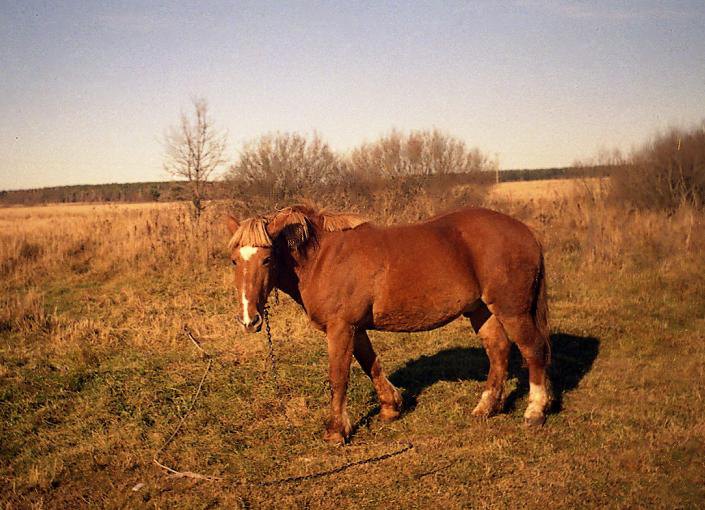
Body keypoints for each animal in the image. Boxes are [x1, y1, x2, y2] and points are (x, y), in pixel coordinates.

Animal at [226, 205, 552, 444]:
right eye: (233, 261)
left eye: (267, 259)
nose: (249, 320)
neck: (322, 258)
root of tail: (526, 232)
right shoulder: (355, 328)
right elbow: (371, 364)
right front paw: (391, 407)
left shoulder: (341, 327)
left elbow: (339, 377)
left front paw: (336, 431)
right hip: (481, 310)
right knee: (498, 352)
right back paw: (485, 408)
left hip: (512, 310)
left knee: (533, 350)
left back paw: (535, 411)